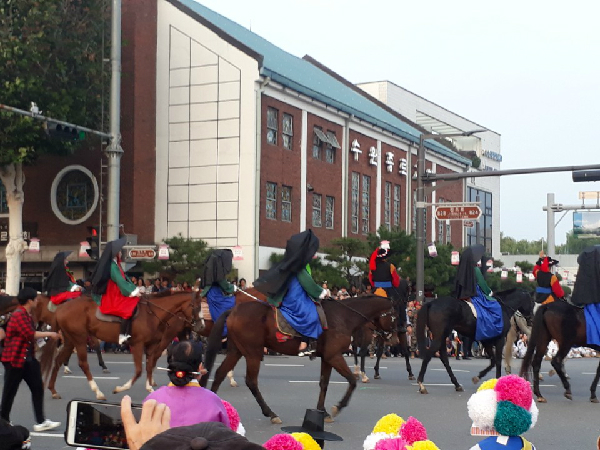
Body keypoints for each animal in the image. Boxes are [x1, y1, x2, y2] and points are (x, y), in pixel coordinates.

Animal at [40, 292, 204, 400]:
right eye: (196, 306)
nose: (201, 326)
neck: (152, 314)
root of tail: (61, 308)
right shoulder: (137, 345)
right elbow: (138, 371)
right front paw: (121, 388)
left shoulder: (151, 345)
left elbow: (149, 366)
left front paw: (150, 387)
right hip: (79, 338)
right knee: (83, 363)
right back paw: (98, 391)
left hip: (69, 339)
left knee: (58, 361)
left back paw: (53, 390)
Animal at [203, 294, 398, 424]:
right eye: (395, 317)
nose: (395, 339)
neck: (343, 316)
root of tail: (233, 310)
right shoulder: (335, 356)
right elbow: (351, 380)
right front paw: (337, 407)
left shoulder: (327, 358)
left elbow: (324, 383)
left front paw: (322, 411)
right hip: (253, 353)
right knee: (251, 381)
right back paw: (271, 413)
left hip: (236, 351)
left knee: (220, 373)